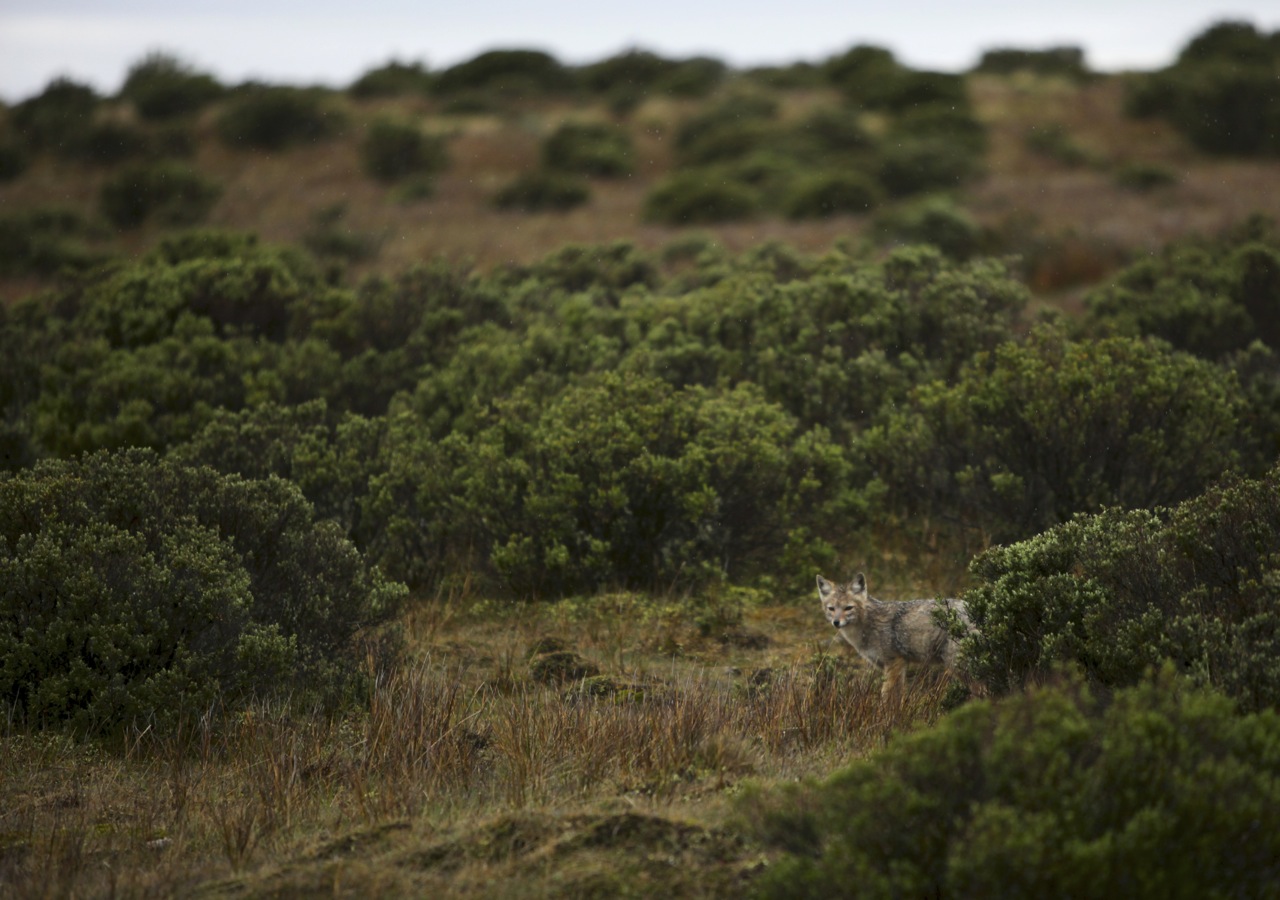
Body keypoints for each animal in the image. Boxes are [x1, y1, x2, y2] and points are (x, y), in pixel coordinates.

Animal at [816, 573, 970, 702]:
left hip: (957, 666)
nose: (836, 622)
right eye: (831, 609)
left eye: (848, 608)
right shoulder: (896, 665)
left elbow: (887, 696)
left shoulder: (894, 663)